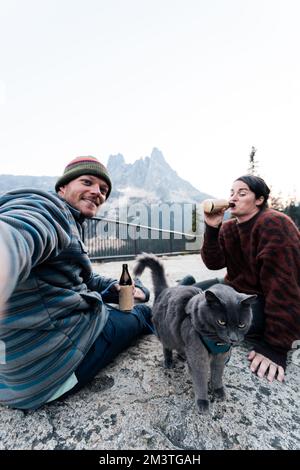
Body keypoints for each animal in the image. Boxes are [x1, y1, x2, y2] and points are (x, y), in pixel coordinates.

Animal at [134, 255, 255, 414]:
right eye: (221, 322)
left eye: (242, 324)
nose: (233, 338)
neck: (217, 342)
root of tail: (165, 290)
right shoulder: (198, 355)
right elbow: (200, 379)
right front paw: (203, 402)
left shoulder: (221, 357)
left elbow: (217, 375)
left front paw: (218, 390)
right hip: (166, 334)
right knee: (166, 347)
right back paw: (168, 362)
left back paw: (182, 355)